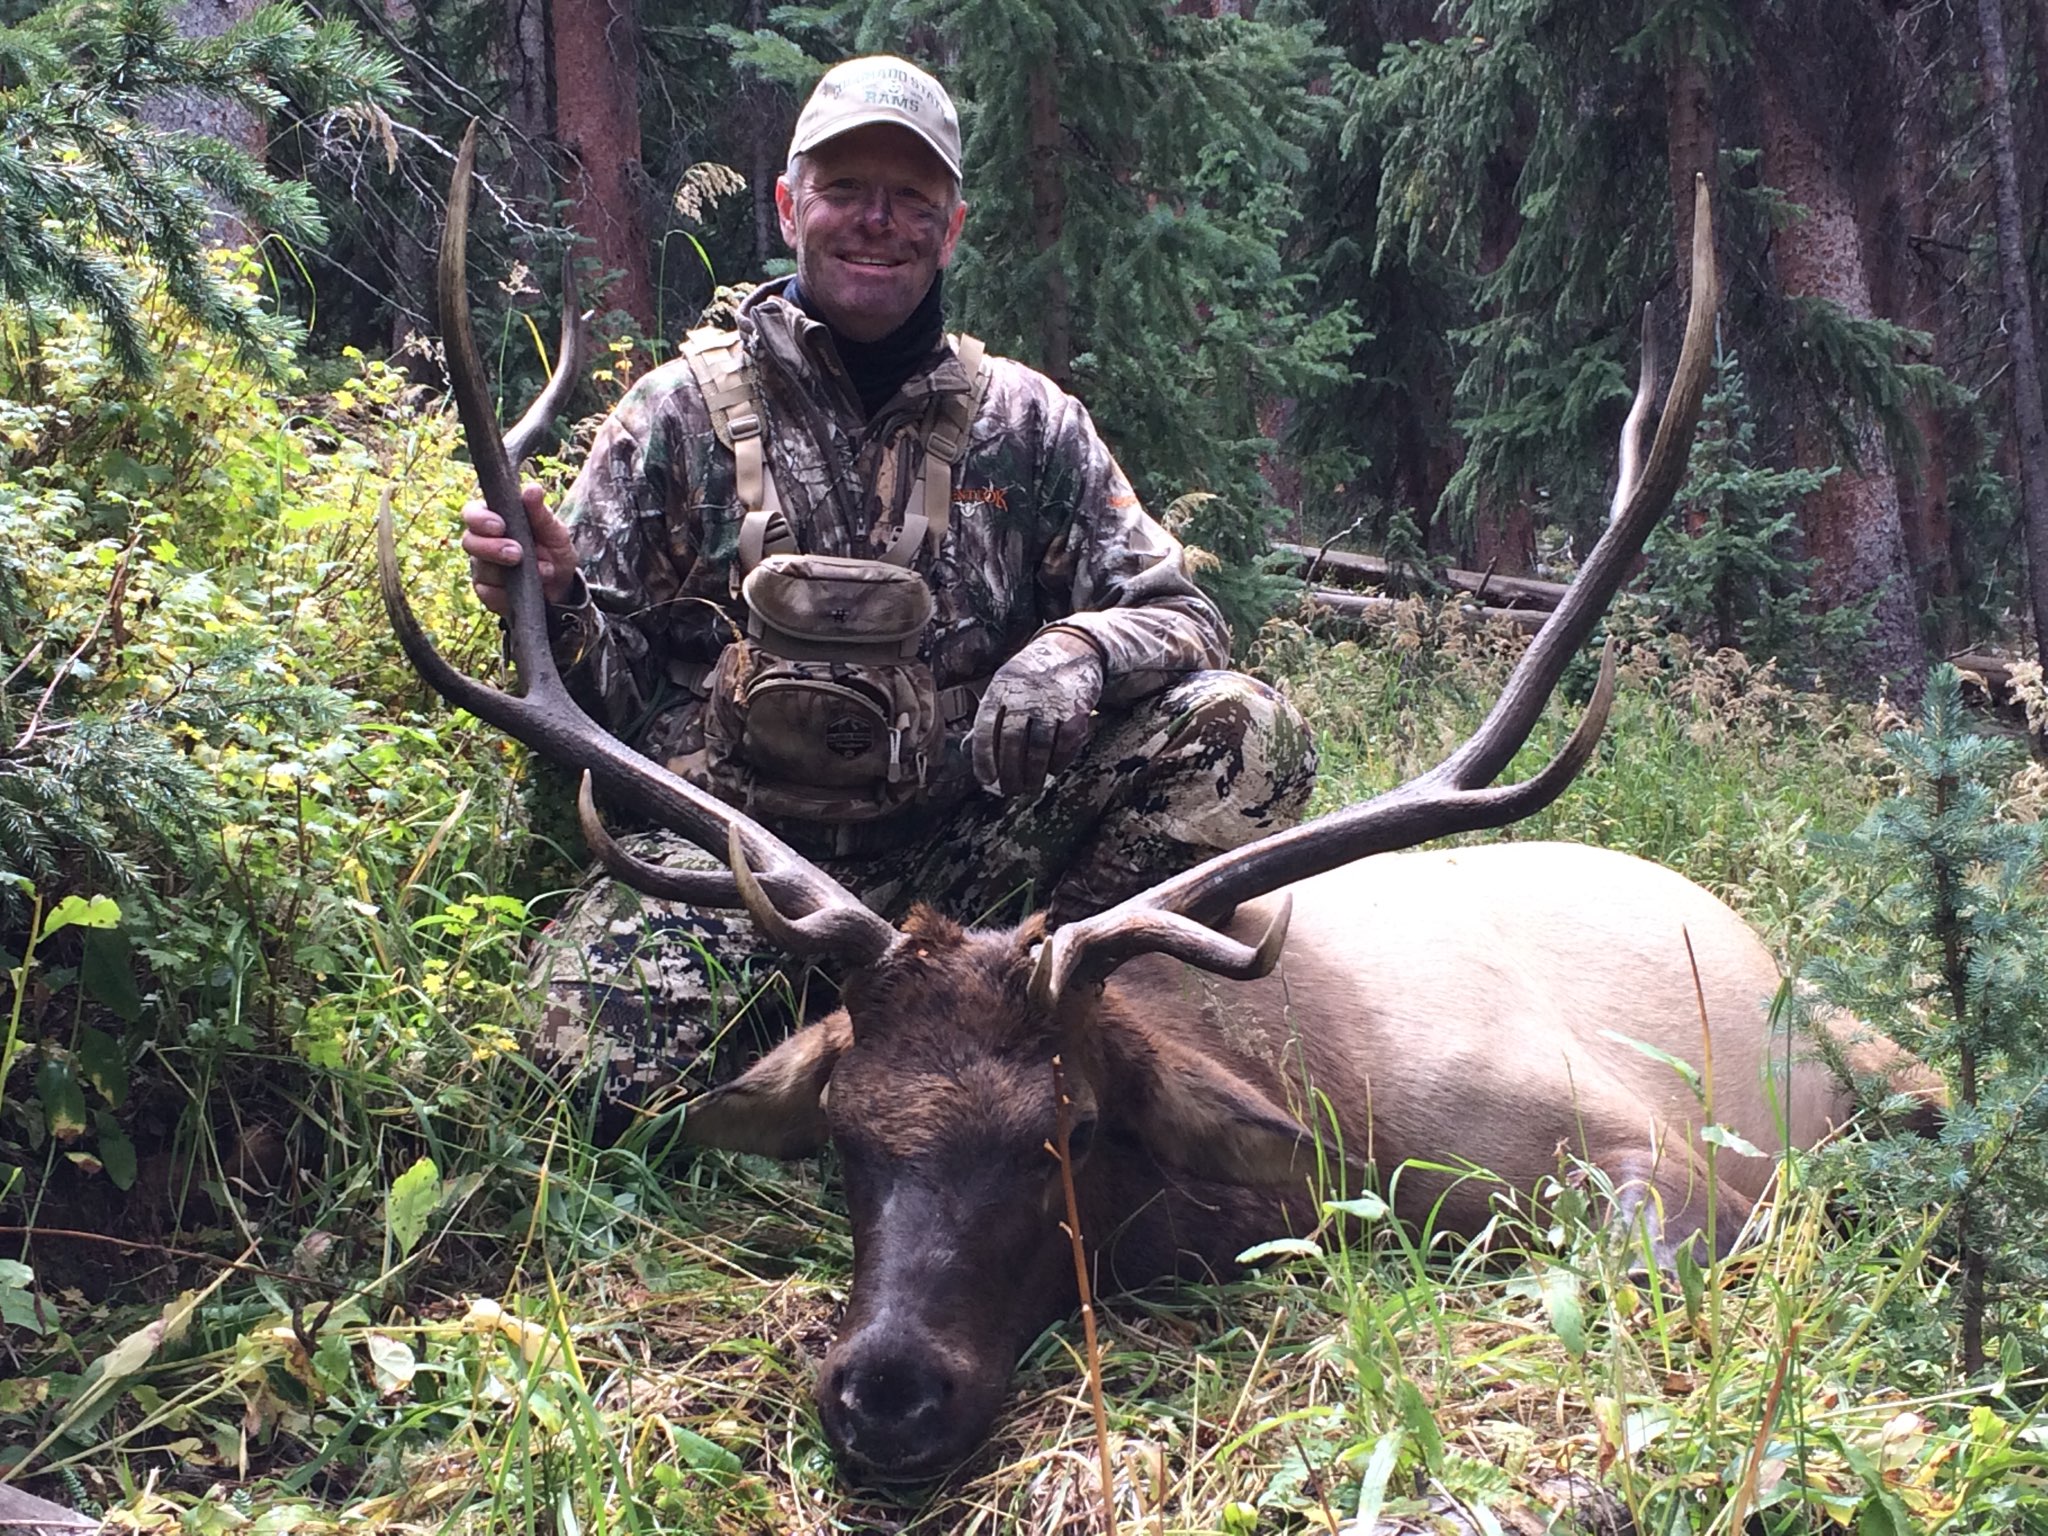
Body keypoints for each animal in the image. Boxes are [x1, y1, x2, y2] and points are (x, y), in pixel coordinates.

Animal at [380, 136, 1939, 1484]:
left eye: (1067, 1134)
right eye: (845, 1137)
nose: (883, 1395)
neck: (1326, 1122)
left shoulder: (1650, 1149)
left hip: (1851, 1041)